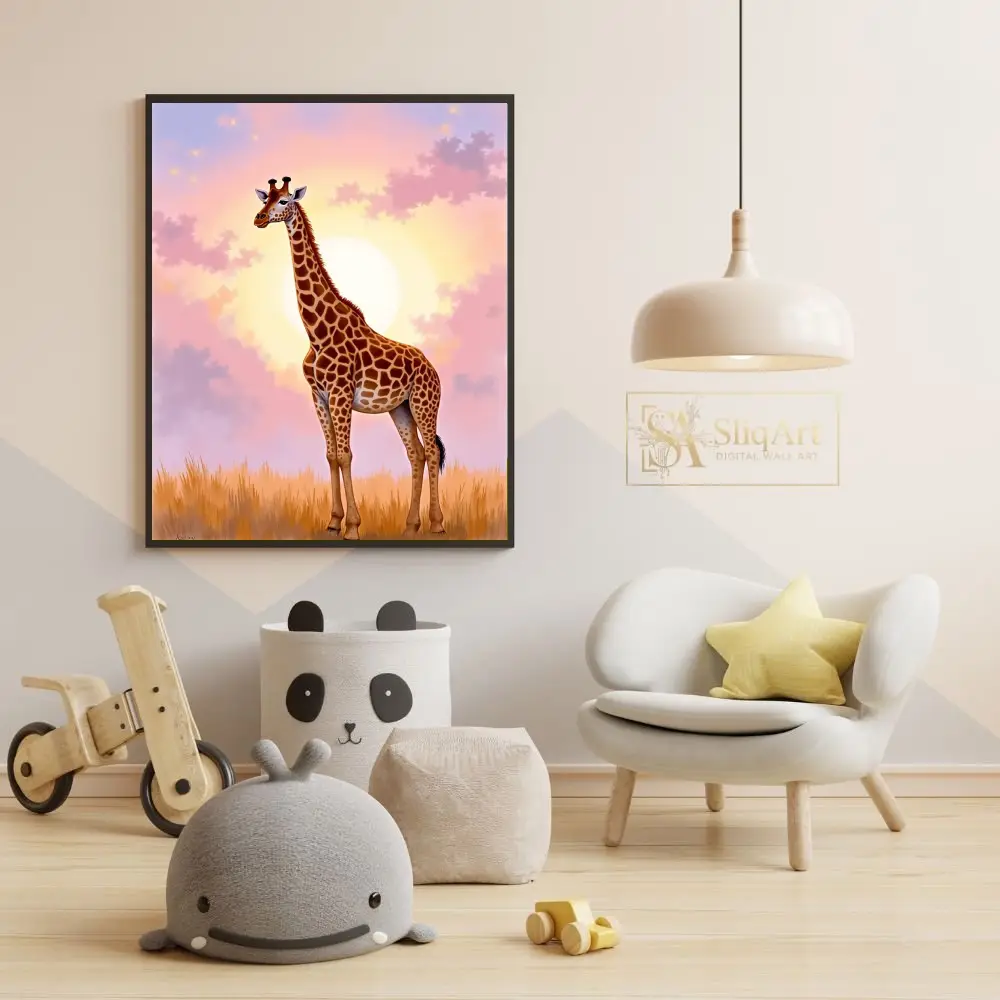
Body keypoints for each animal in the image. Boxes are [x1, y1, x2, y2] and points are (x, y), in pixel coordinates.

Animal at [253, 177, 445, 541]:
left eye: (284, 201)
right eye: (264, 198)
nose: (258, 219)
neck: (316, 332)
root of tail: (432, 369)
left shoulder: (340, 393)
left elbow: (345, 455)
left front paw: (353, 527)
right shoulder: (318, 395)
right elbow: (330, 455)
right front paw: (333, 522)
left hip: (425, 404)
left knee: (432, 450)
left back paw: (437, 523)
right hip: (400, 408)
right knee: (416, 454)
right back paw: (410, 526)